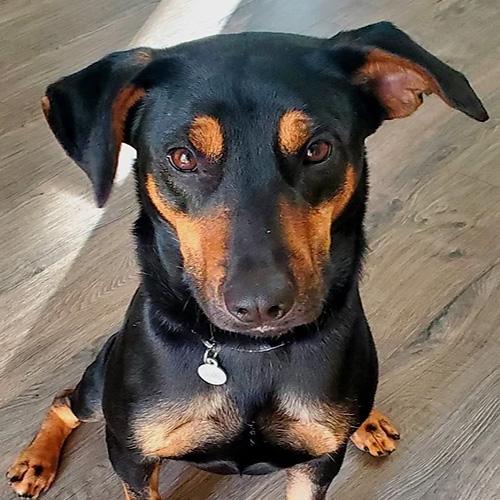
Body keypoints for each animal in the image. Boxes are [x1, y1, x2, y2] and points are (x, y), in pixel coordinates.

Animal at [5, 22, 486, 500]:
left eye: (317, 149)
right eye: (183, 157)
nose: (260, 306)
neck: (248, 354)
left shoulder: (317, 463)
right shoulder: (131, 458)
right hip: (101, 383)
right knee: (64, 402)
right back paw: (35, 461)